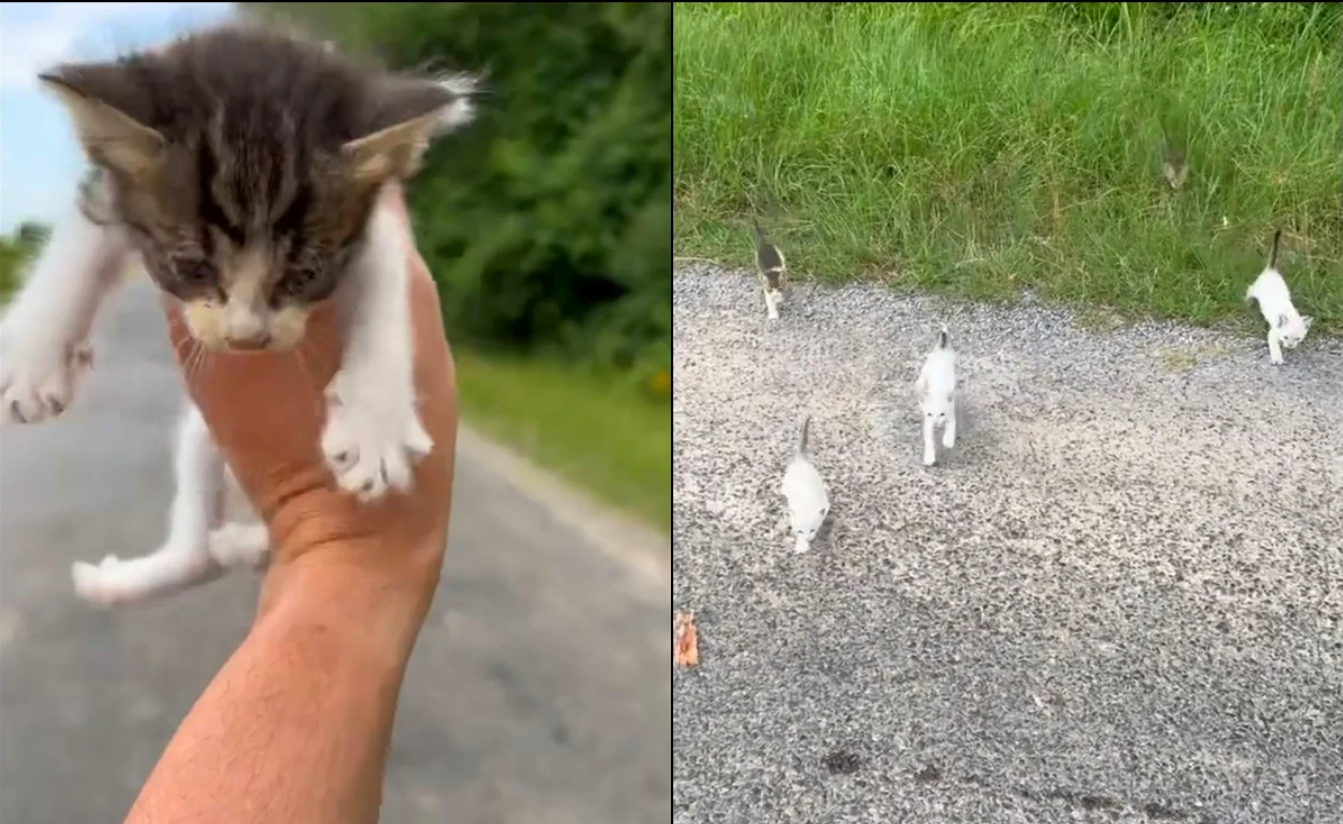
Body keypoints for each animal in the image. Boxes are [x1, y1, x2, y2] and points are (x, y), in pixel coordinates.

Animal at [0, 24, 480, 606]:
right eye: (192, 266)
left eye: (304, 273)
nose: (247, 336)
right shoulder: (113, 190)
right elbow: (77, 249)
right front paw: (31, 359)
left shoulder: (375, 228)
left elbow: (387, 298)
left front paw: (375, 426)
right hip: (200, 439)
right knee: (196, 555)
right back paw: (120, 580)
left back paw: (238, 545)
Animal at [778, 418, 827, 555]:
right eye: (800, 531)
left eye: (812, 529)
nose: (809, 538)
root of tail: (800, 460)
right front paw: (802, 544)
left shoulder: (824, 503)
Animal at [913, 328, 956, 472]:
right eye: (930, 414)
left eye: (942, 414)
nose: (937, 426)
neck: (938, 392)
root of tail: (941, 349)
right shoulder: (928, 422)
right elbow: (929, 440)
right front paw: (929, 458)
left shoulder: (951, 414)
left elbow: (951, 428)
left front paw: (948, 441)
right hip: (922, 379)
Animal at [1240, 228, 1316, 367]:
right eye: (1286, 337)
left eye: (1297, 339)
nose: (1290, 346)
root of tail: (1271, 269)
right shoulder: (1272, 333)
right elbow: (1274, 347)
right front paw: (1277, 359)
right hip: (1255, 289)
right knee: (1249, 290)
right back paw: (1248, 302)